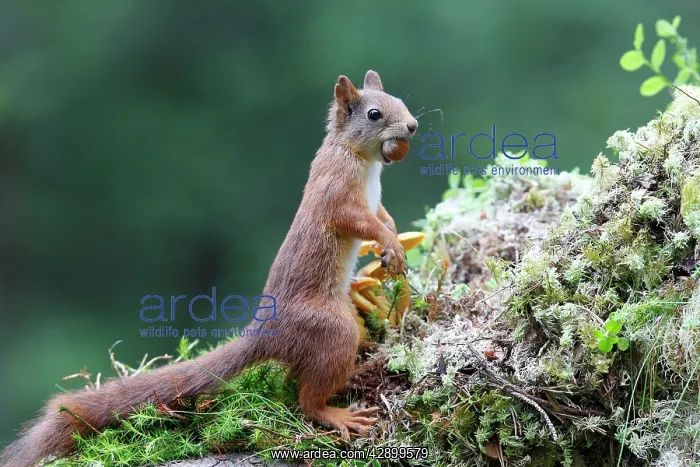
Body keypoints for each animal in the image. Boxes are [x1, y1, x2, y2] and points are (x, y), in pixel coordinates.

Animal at [0, 70, 418, 467]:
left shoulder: (371, 201)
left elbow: (383, 216)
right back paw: (336, 414)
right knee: (306, 399)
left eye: (399, 100)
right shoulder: (337, 194)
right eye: (374, 114)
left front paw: (393, 240)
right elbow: (360, 221)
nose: (413, 126)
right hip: (332, 329)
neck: (359, 159)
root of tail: (267, 332)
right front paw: (390, 243)